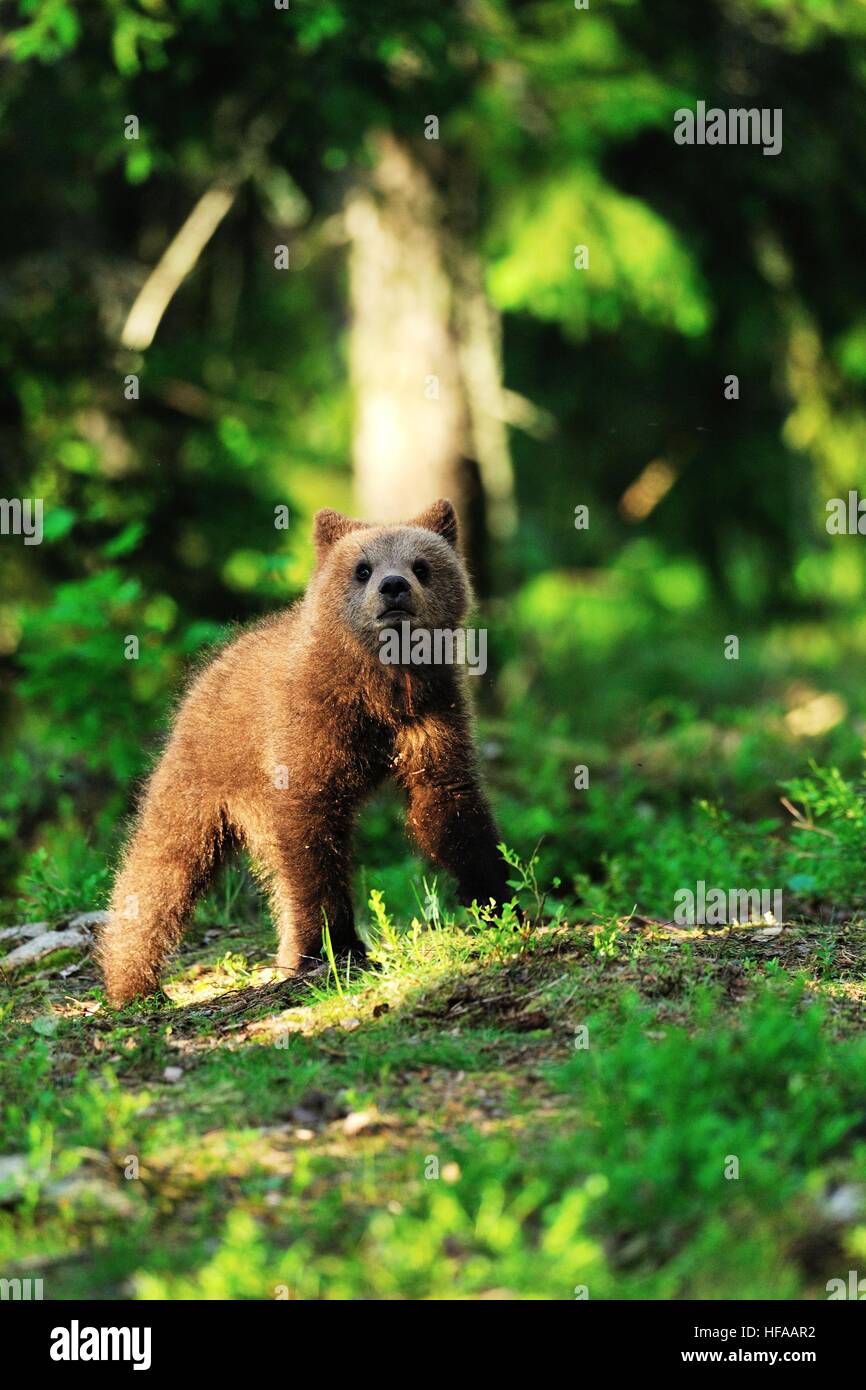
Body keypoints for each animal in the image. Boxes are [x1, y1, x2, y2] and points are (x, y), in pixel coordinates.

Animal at [98, 498, 512, 1006]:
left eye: (422, 565)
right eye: (362, 568)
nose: (393, 587)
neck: (380, 686)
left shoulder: (431, 717)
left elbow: (447, 807)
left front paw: (500, 900)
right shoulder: (308, 729)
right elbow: (312, 836)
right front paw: (336, 948)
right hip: (205, 773)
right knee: (161, 867)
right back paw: (133, 982)